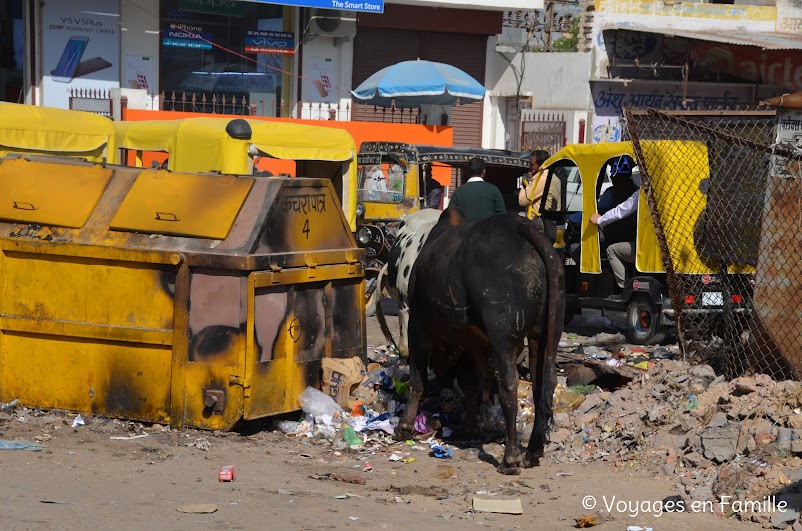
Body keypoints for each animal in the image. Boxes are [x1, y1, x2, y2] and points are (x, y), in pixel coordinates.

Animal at [398, 210, 564, 476]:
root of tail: (521, 227)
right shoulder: (471, 343)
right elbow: (471, 386)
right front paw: (468, 427)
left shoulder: (418, 327)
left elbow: (418, 381)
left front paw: (403, 427)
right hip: (545, 333)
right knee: (542, 384)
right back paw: (532, 452)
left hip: (502, 336)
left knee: (509, 384)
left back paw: (511, 459)